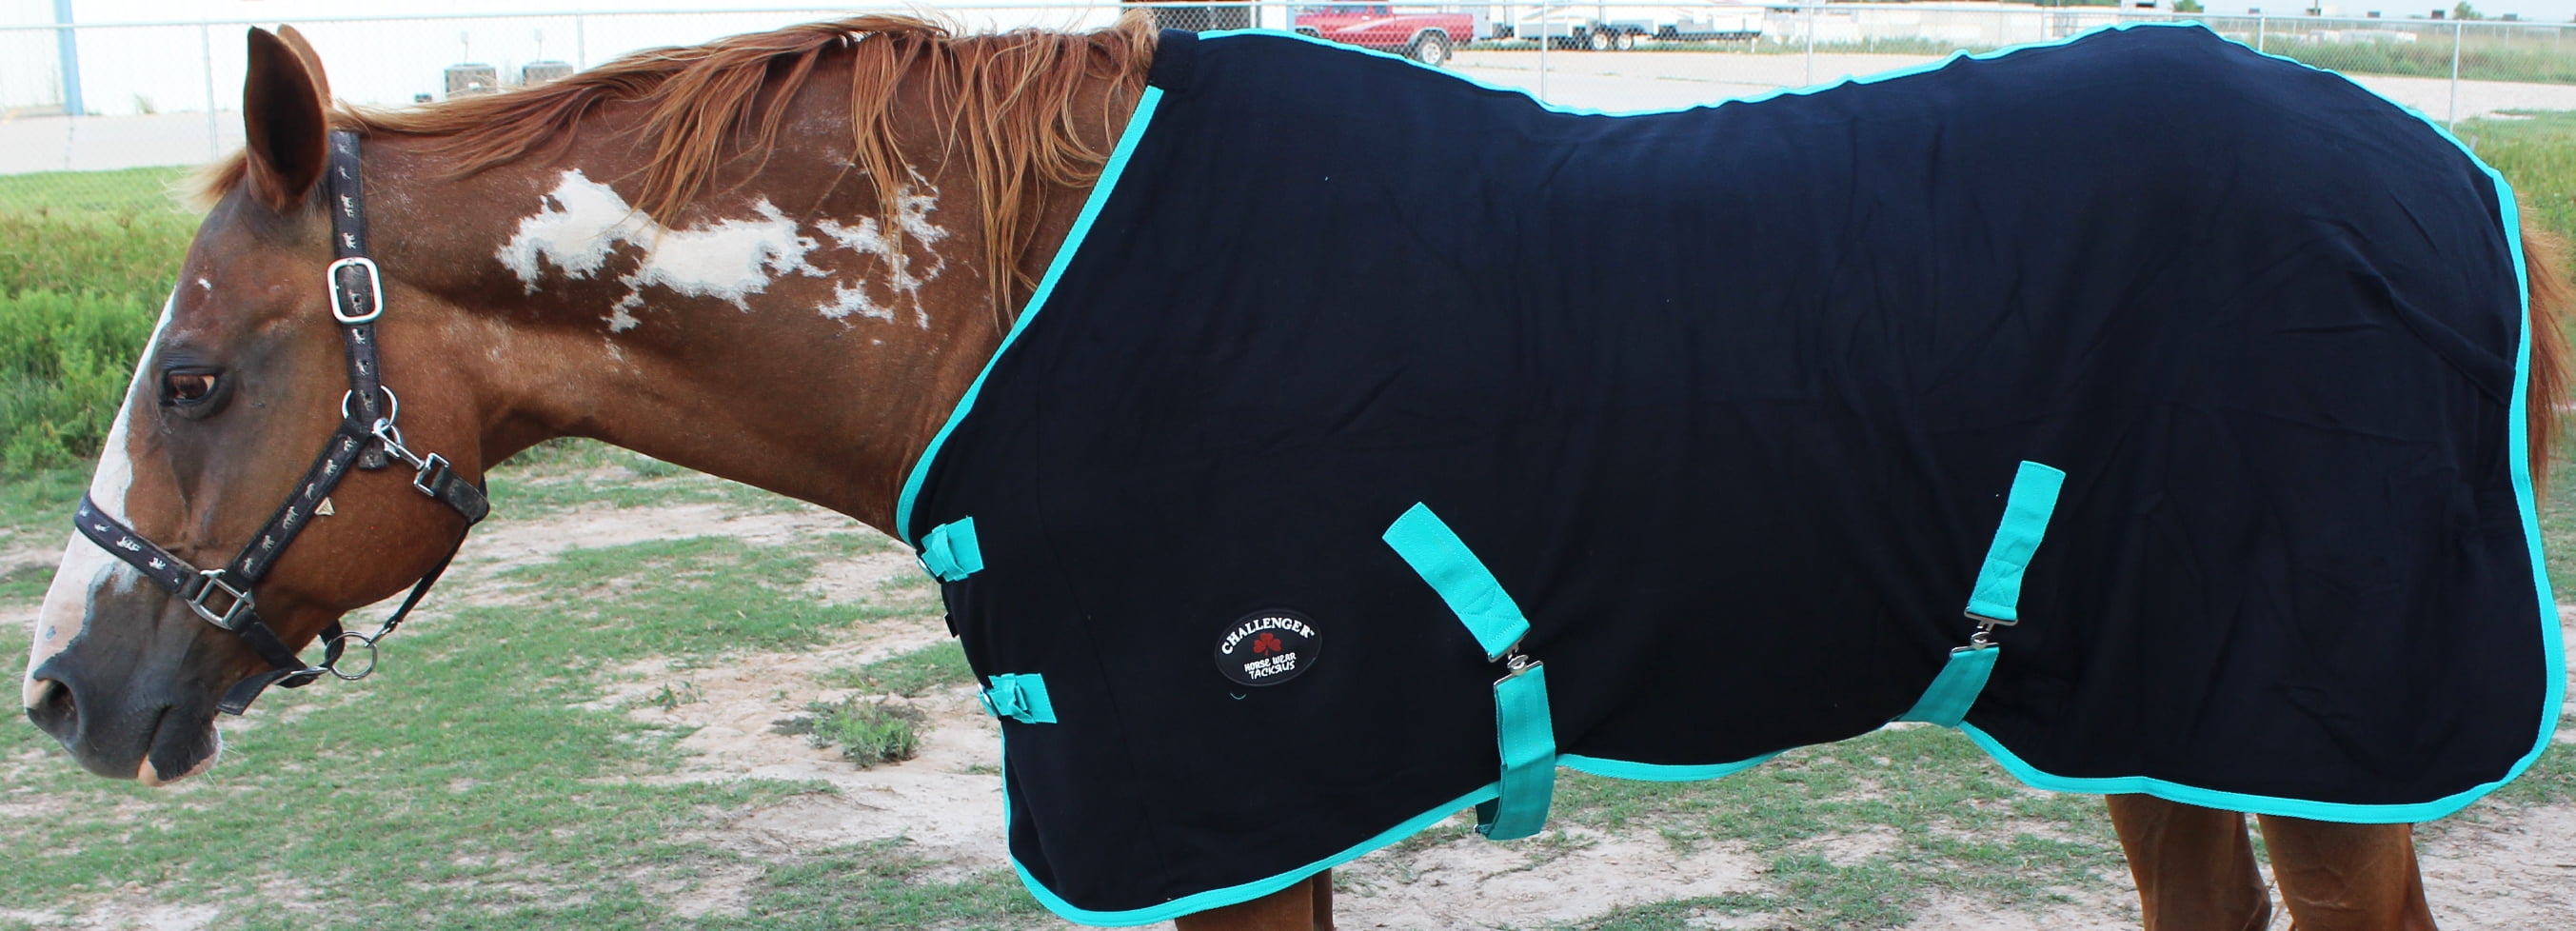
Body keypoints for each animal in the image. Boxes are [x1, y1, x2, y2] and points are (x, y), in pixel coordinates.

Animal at [19, 15, 2569, 931]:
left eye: (197, 375)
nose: (65, 686)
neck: (1019, 300)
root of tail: (2445, 181)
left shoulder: (1225, 807)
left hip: (2314, 742)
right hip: (2162, 725)